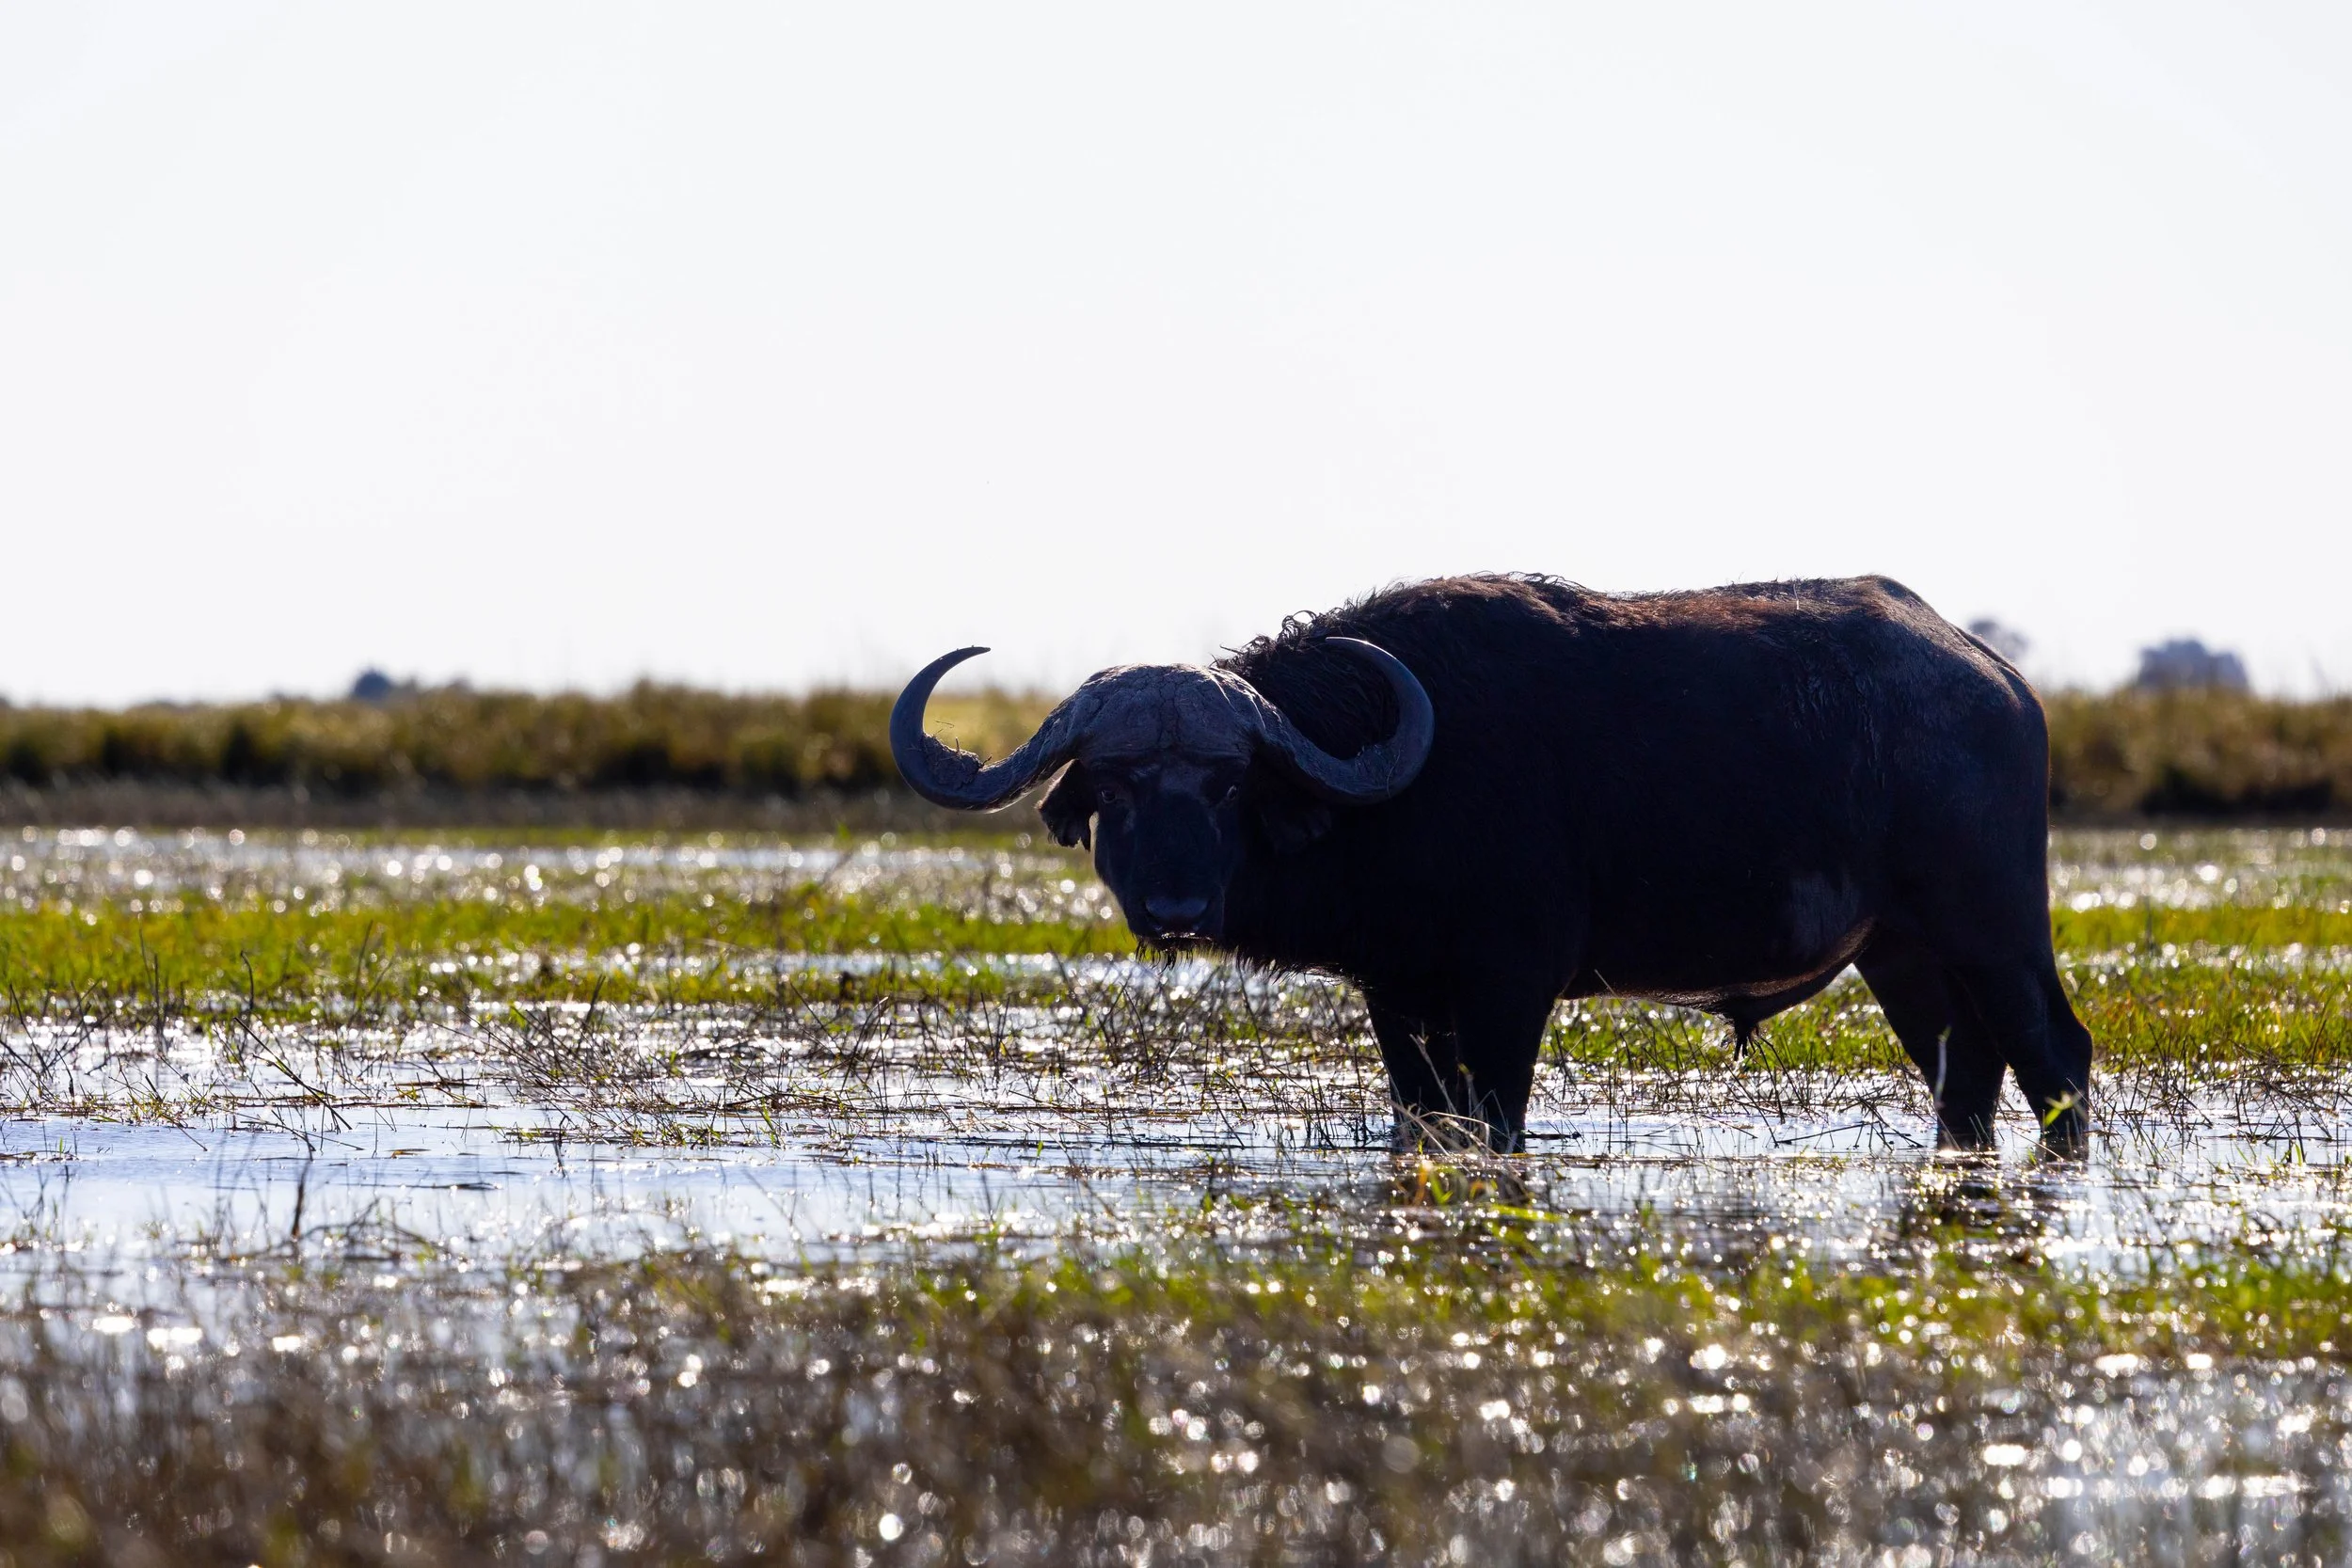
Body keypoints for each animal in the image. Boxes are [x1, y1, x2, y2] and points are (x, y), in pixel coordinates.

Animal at [891, 575, 2092, 1156]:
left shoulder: (1511, 988)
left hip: (1994, 929)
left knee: (2055, 1052)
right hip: (1904, 956)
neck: (1403, 791)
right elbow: (1421, 1118)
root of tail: (1995, 680)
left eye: (1228, 784)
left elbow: (1497, 1119)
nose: (1175, 905)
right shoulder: (1397, 998)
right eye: (1116, 786)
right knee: (1964, 1075)